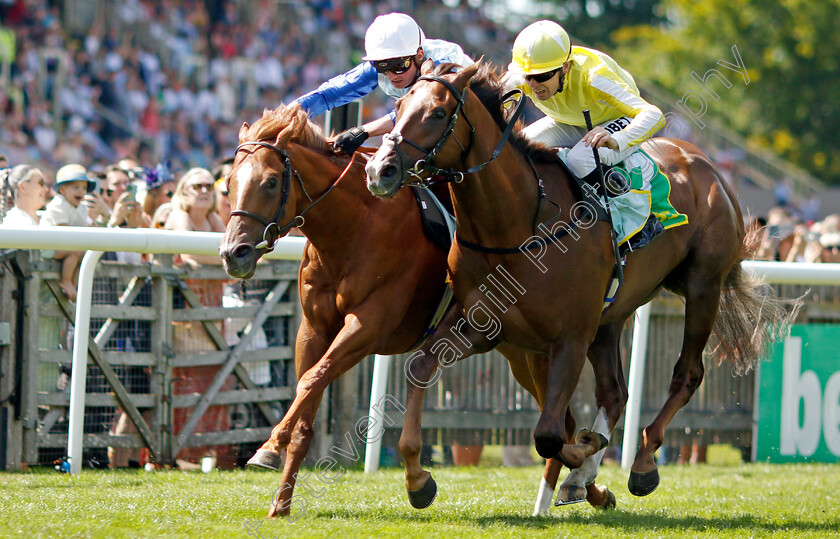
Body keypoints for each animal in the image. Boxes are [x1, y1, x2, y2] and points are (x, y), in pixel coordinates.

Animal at [220, 103, 608, 520]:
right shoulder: (313, 329)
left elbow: (312, 380)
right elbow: (309, 394)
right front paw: (281, 501)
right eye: (229, 183)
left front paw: (268, 448)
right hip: (521, 353)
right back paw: (590, 487)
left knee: (561, 421)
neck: (352, 229)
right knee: (563, 422)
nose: (233, 253)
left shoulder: (368, 325)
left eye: (271, 182)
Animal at [364, 62, 796, 502]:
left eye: (437, 113)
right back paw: (586, 475)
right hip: (612, 315)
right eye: (397, 106)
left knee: (686, 373)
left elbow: (550, 434)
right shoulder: (484, 325)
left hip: (702, 286)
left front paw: (589, 454)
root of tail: (709, 166)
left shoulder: (570, 336)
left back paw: (642, 463)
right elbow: (421, 365)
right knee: (615, 392)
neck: (519, 224)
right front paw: (418, 478)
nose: (379, 170)